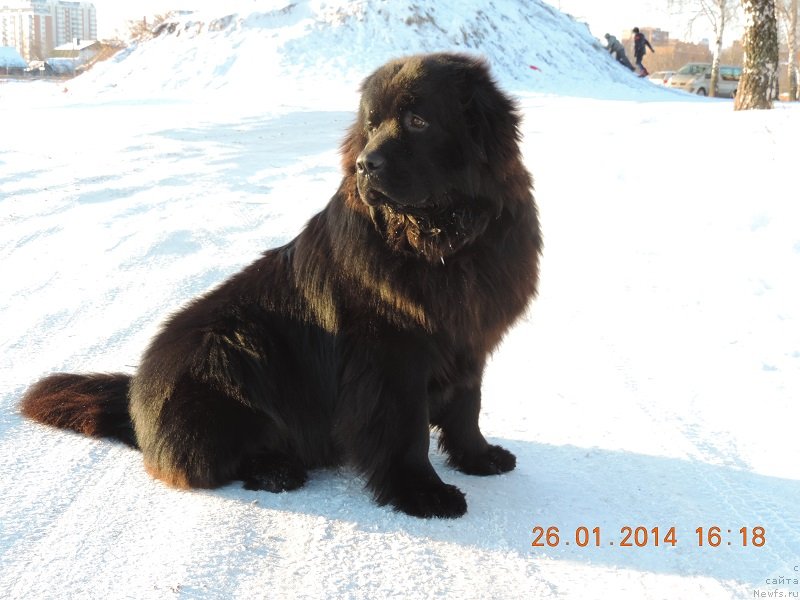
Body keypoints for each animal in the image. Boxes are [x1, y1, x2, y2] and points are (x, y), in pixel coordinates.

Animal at [20, 54, 544, 516]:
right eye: (371, 125)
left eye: (418, 121)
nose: (365, 165)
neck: (440, 242)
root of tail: (135, 398)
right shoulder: (391, 360)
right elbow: (406, 432)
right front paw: (423, 494)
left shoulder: (469, 339)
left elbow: (467, 406)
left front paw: (479, 457)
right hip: (229, 342)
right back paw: (277, 470)